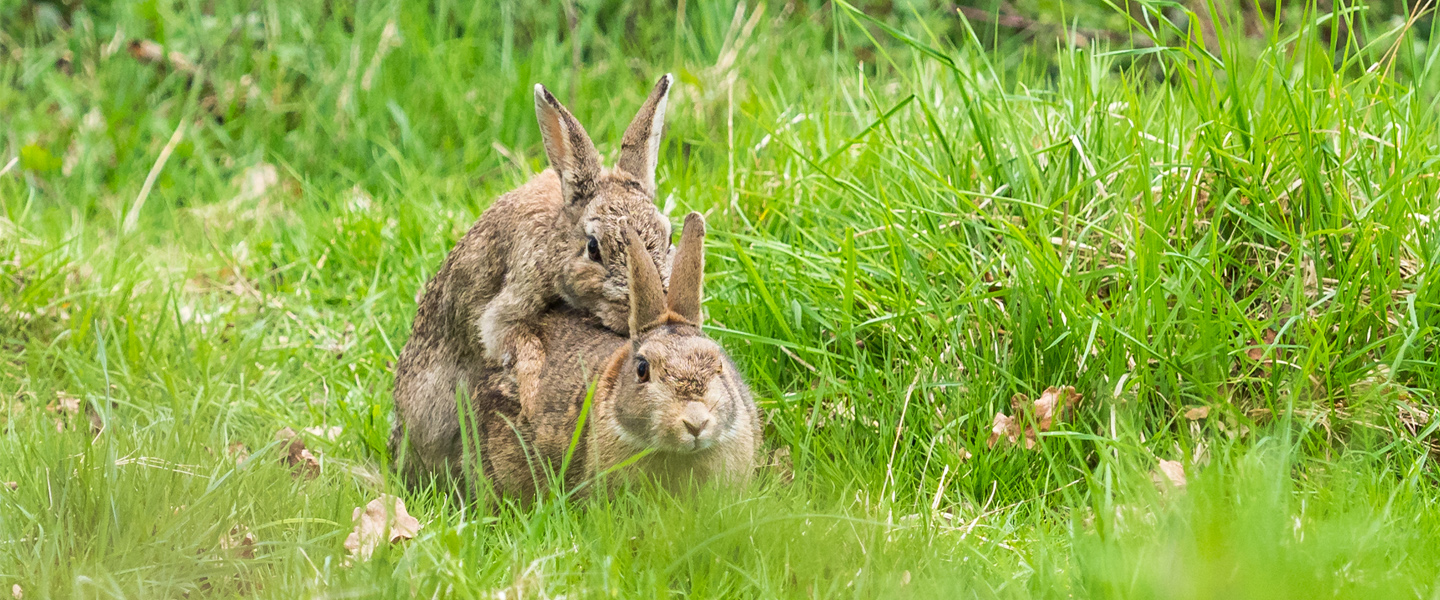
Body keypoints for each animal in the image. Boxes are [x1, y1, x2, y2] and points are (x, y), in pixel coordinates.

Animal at [388, 75, 679, 486]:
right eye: (594, 248)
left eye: (668, 237)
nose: (651, 306)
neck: (558, 238)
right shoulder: (508, 303)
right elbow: (514, 339)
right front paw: (528, 396)